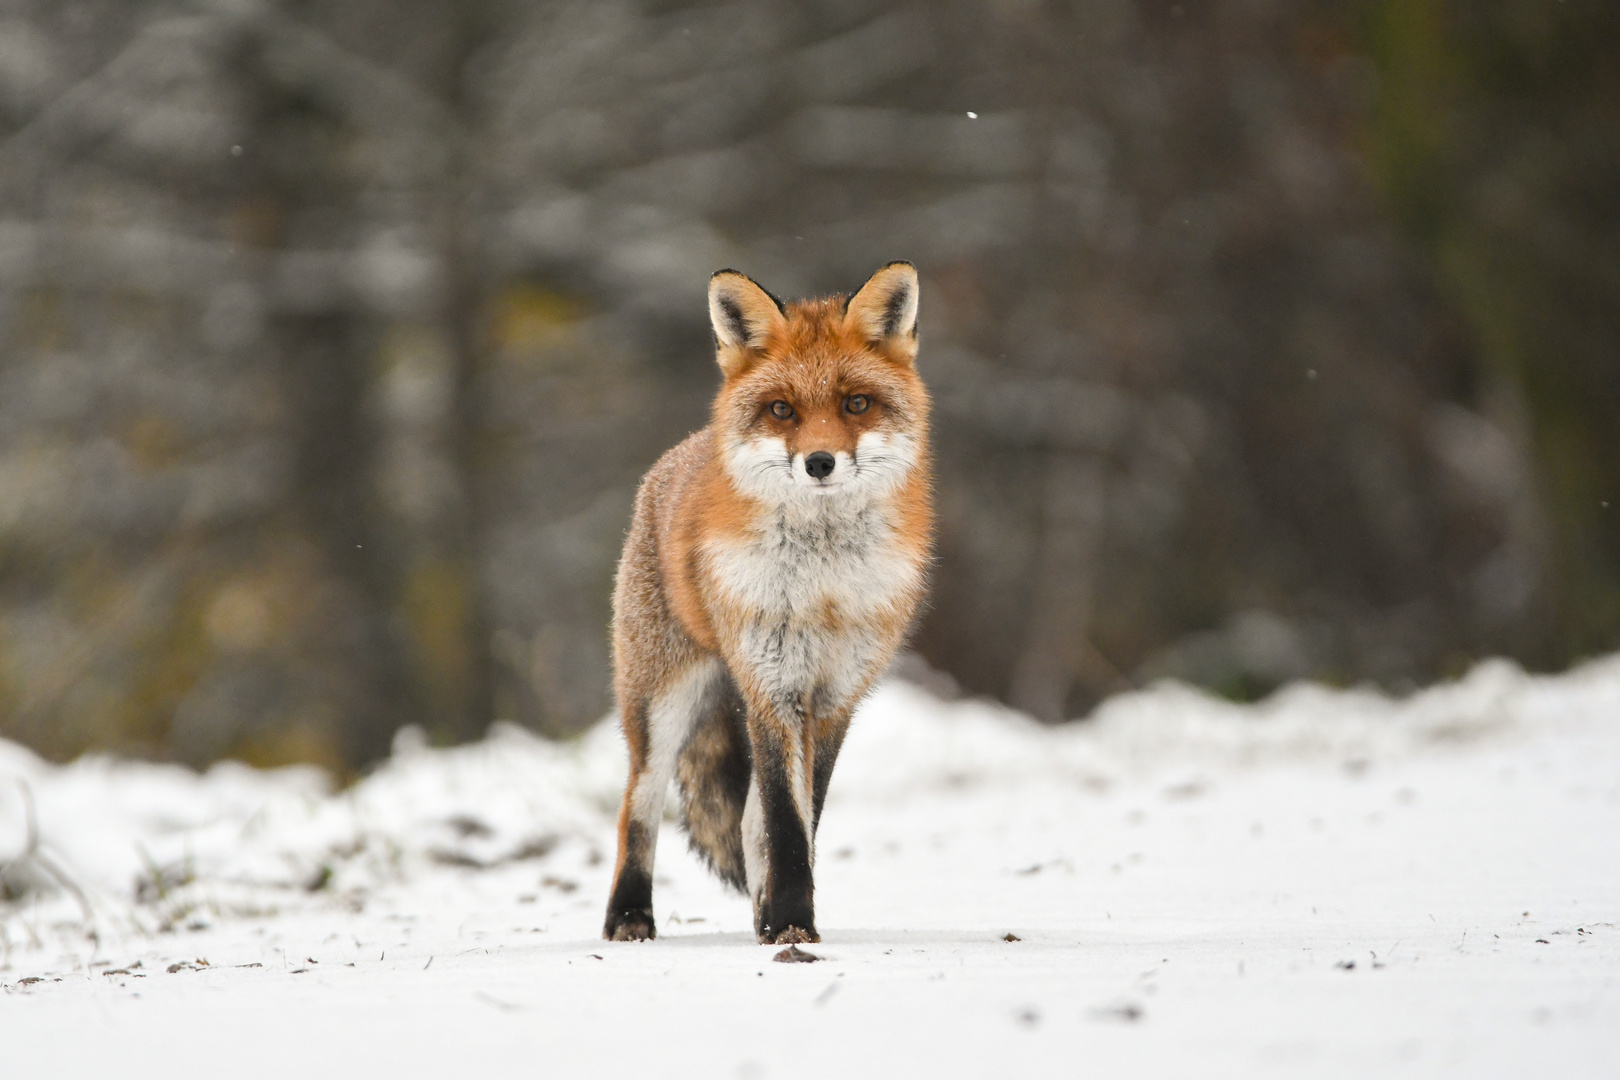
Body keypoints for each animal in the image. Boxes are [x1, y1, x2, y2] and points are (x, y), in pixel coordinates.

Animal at [605, 262, 939, 945]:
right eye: (782, 410)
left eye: (856, 403)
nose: (820, 462)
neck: (823, 587)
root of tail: (679, 452)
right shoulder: (772, 685)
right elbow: (786, 824)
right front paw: (790, 923)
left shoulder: (835, 698)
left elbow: (796, 822)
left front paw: (780, 919)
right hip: (659, 703)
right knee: (637, 808)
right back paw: (628, 916)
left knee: (743, 820)